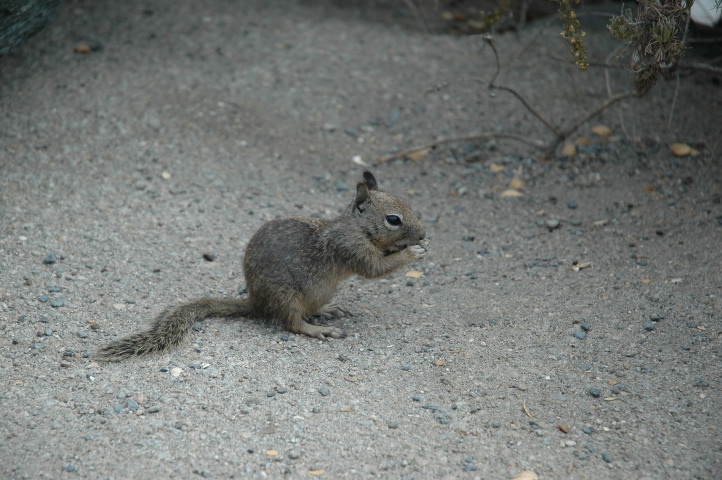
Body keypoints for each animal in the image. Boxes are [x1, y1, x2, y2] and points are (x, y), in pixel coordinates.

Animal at [93, 171, 424, 362]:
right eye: (393, 219)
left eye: (410, 205)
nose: (422, 234)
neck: (356, 226)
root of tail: (255, 302)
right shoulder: (350, 247)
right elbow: (374, 268)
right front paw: (412, 254)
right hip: (284, 295)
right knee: (291, 323)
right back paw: (317, 329)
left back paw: (325, 311)